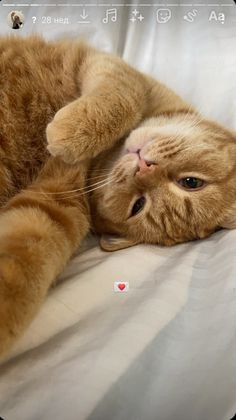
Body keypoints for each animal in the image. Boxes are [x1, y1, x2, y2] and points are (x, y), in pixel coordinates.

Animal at [0, 35, 236, 360]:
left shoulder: (51, 207)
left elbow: (22, 260)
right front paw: (73, 130)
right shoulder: (115, 69)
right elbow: (124, 96)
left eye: (138, 205)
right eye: (191, 182)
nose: (144, 167)